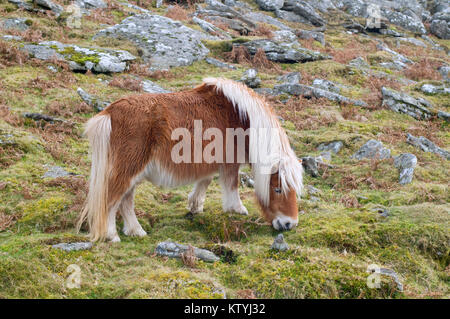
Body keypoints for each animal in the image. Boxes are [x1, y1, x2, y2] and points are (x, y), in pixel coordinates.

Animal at [78, 78, 302, 242]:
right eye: (278, 189)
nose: (289, 224)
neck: (241, 117)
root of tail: (109, 113)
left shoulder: (212, 160)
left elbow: (206, 180)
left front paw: (195, 206)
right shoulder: (230, 162)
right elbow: (232, 185)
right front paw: (237, 209)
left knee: (125, 201)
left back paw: (136, 231)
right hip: (128, 170)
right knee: (112, 199)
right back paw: (112, 236)